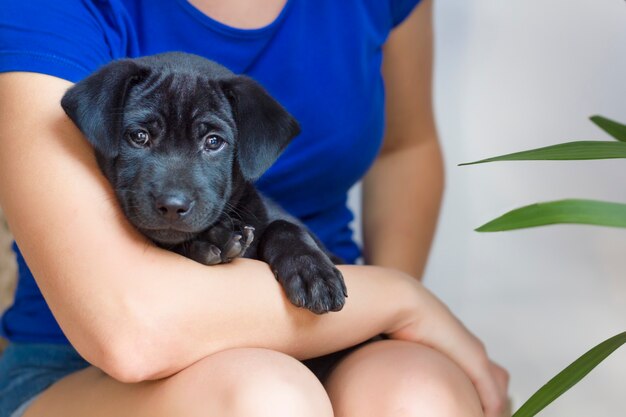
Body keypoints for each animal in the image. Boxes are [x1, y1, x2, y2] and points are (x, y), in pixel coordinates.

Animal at [62, 52, 346, 312]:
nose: (172, 206)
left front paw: (311, 268)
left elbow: (283, 226)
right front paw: (211, 241)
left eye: (213, 141)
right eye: (139, 136)